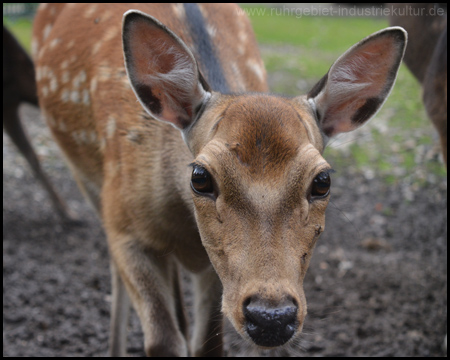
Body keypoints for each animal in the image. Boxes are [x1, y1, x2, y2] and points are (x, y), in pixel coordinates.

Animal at [33, 3, 408, 358]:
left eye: (322, 181)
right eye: (200, 177)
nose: (271, 317)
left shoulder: (216, 264)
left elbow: (207, 344)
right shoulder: (125, 228)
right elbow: (163, 341)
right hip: (89, 182)